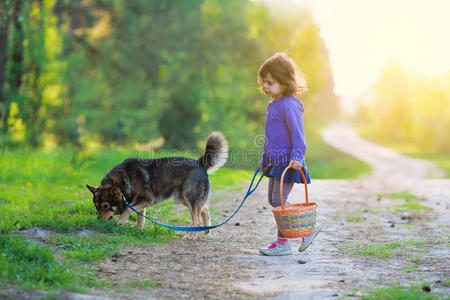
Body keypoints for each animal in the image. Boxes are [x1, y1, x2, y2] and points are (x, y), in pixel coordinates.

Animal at [87, 131, 229, 239]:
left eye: (105, 206)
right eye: (96, 206)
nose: (98, 221)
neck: (124, 179)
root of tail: (200, 163)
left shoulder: (146, 199)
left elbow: (127, 209)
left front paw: (120, 223)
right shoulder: (140, 203)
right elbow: (140, 218)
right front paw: (138, 230)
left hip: (190, 198)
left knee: (197, 221)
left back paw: (190, 236)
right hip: (185, 199)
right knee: (205, 210)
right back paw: (207, 231)